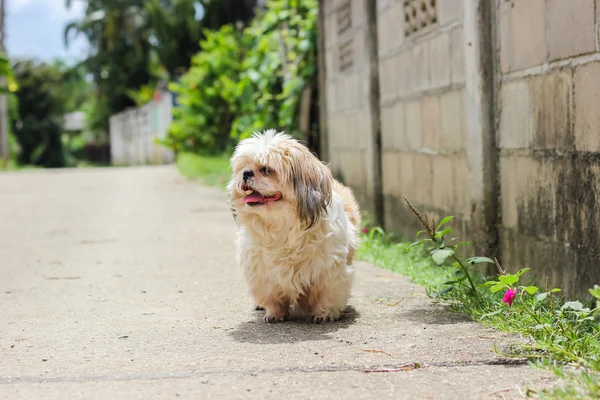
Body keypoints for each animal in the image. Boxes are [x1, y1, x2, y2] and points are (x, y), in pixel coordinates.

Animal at [227, 130, 360, 324]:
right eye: (243, 167)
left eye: (266, 169)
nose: (246, 173)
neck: (282, 225)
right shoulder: (262, 269)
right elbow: (272, 293)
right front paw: (274, 312)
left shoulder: (330, 270)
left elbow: (327, 294)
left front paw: (323, 313)